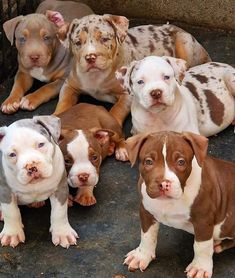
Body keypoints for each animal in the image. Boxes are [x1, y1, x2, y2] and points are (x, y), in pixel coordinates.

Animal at [0, 115, 78, 248]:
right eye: (12, 154)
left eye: (41, 144)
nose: (31, 166)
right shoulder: (5, 191)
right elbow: (11, 212)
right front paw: (12, 233)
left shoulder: (60, 189)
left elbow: (59, 212)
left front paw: (63, 233)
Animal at [53, 13, 211, 125]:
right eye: (77, 42)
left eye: (104, 39)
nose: (90, 57)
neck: (95, 76)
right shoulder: (69, 86)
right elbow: (62, 104)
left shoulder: (127, 95)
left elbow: (116, 111)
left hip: (184, 42)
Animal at [123, 131, 235, 278]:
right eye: (148, 161)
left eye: (181, 162)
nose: (164, 184)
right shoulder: (146, 211)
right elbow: (147, 235)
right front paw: (141, 256)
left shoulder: (203, 219)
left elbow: (201, 246)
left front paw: (200, 267)